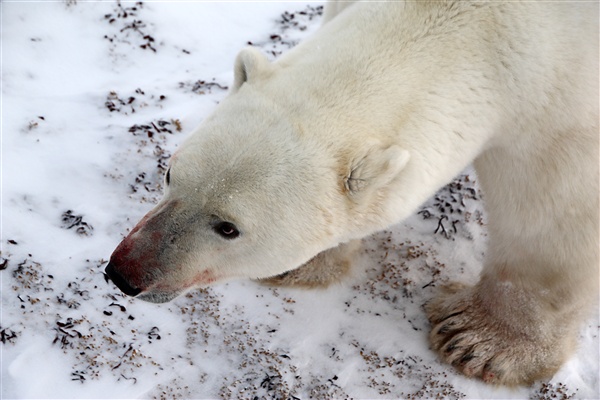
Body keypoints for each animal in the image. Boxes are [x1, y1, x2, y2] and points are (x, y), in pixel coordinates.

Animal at [105, 0, 596, 388]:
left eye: (228, 227)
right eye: (171, 174)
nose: (124, 273)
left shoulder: (560, 94)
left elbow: (556, 210)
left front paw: (477, 340)